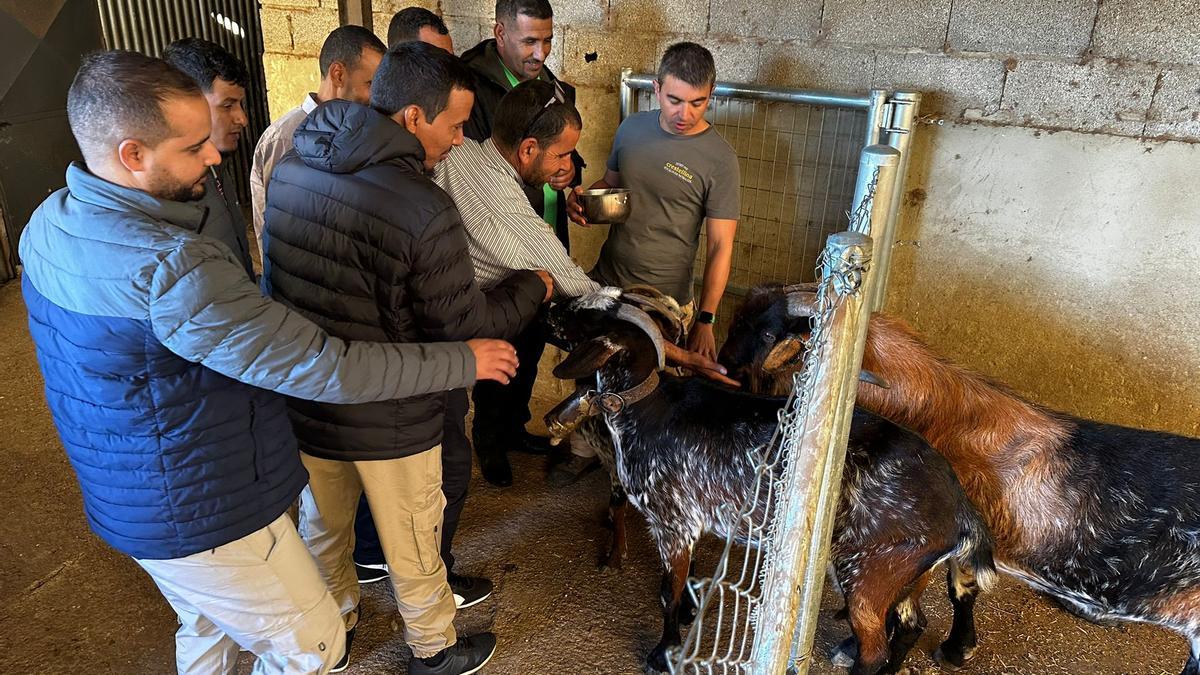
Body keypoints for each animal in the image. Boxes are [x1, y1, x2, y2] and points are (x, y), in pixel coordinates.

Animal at [544, 288, 993, 672]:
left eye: (587, 318)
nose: (550, 305)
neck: (649, 407)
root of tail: (960, 509)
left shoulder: (672, 520)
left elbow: (666, 593)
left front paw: (662, 652)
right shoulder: (690, 518)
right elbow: (681, 581)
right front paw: (689, 612)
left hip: (869, 569)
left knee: (875, 648)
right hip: (903, 572)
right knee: (911, 624)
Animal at [720, 282, 1200, 672]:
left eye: (768, 334)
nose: (722, 364)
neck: (944, 416)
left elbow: (920, 598)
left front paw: (858, 647)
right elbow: (963, 591)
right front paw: (958, 647)